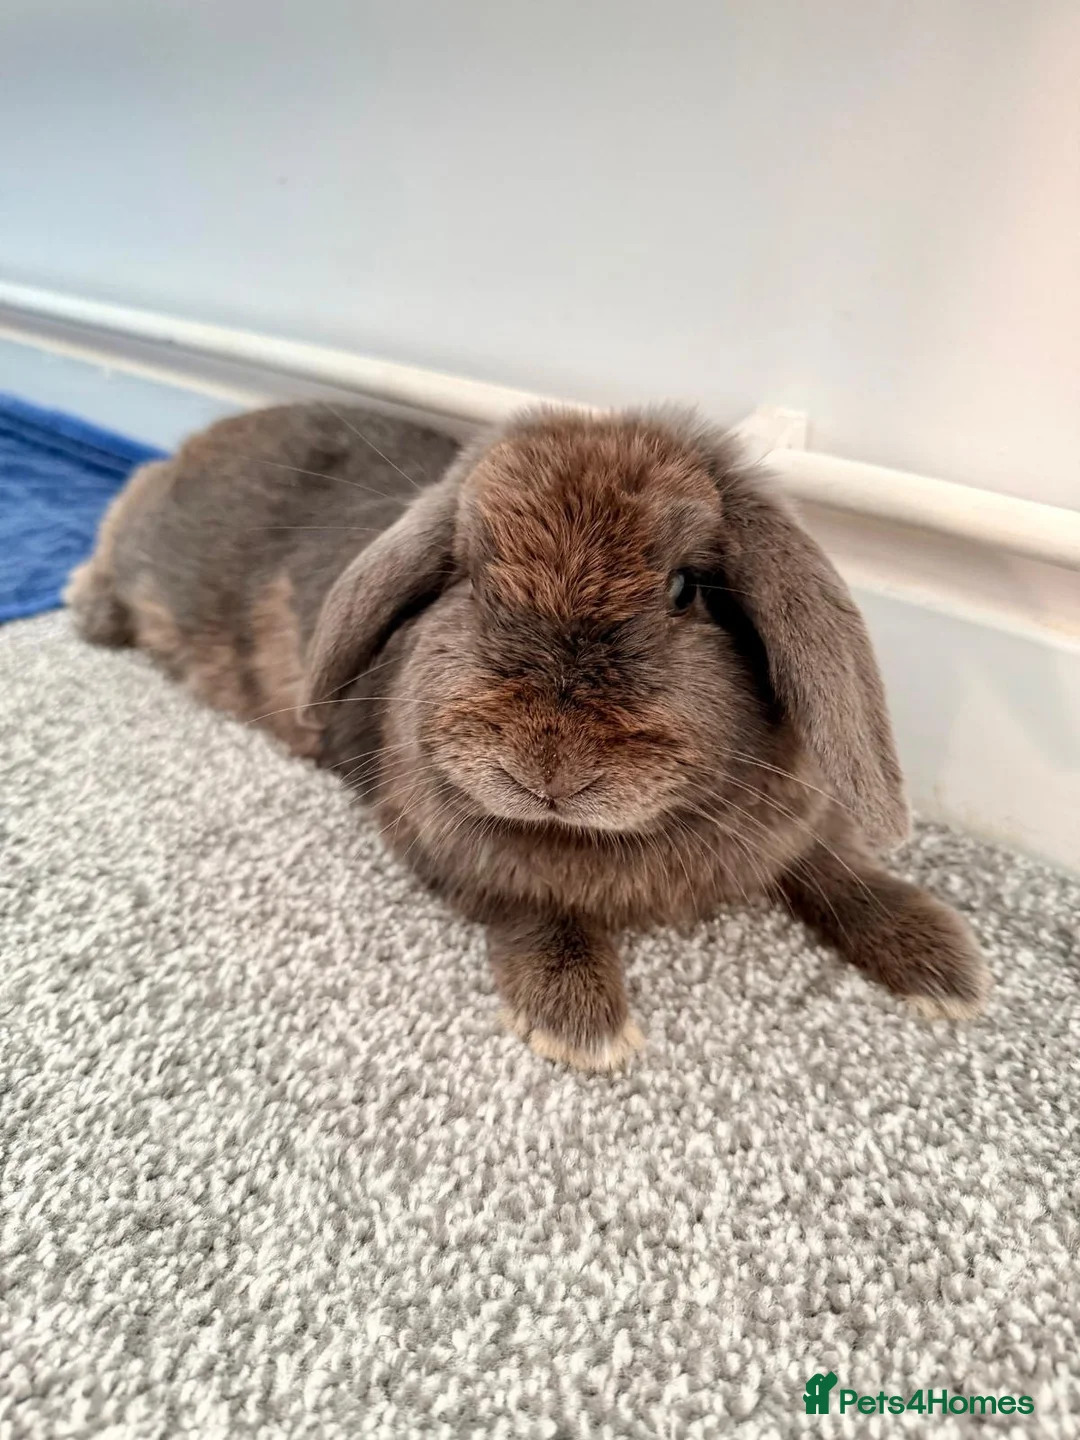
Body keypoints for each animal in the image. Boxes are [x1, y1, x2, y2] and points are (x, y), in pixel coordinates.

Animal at [68, 400, 991, 1070]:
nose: (548, 764)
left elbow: (838, 867)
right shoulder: (446, 850)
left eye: (685, 589)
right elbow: (535, 905)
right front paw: (580, 1022)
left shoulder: (800, 827)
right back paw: (88, 614)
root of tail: (199, 442)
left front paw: (944, 964)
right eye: (474, 581)